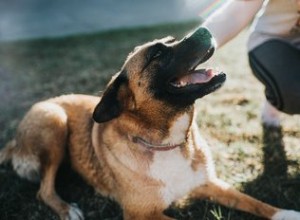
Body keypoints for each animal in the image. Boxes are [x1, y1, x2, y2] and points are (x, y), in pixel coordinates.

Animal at [0, 27, 300, 220]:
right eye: (156, 55)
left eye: (173, 41)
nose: (204, 29)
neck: (169, 142)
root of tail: (13, 143)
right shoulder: (141, 214)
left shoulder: (209, 183)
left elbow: (251, 201)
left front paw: (285, 213)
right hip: (55, 121)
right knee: (43, 190)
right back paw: (66, 209)